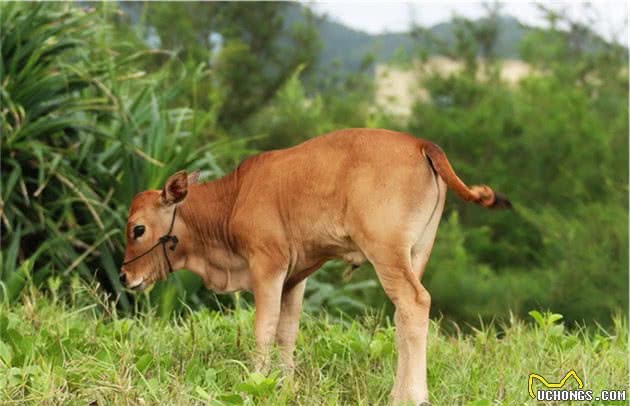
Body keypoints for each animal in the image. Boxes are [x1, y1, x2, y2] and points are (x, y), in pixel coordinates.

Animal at [119, 128, 512, 404]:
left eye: (138, 229)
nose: (124, 275)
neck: (234, 197)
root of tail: (421, 143)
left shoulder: (268, 265)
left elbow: (264, 328)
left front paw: (253, 384)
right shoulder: (296, 277)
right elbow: (287, 331)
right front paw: (284, 384)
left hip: (387, 254)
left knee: (415, 303)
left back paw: (413, 398)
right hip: (416, 254)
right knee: (405, 317)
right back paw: (397, 395)